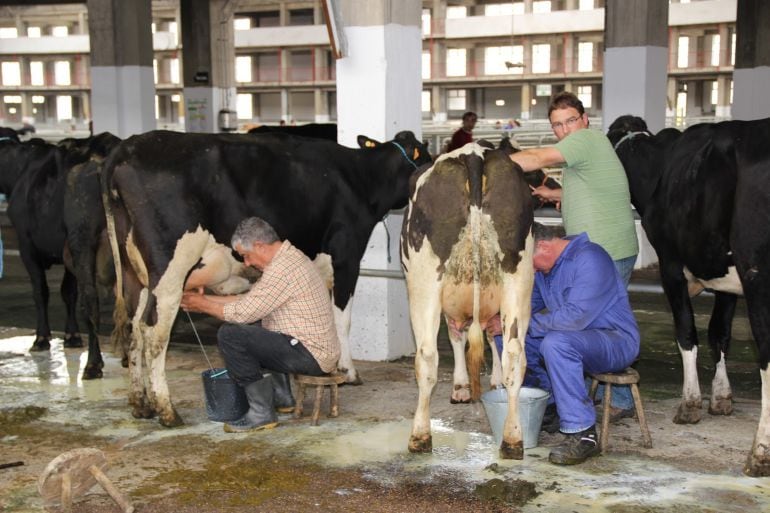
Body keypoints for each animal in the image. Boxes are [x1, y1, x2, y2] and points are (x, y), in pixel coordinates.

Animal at [100, 128, 432, 424]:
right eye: (427, 157)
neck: (359, 179)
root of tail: (127, 146)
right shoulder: (346, 256)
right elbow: (342, 319)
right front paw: (348, 372)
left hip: (135, 275)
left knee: (134, 327)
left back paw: (140, 403)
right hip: (170, 268)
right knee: (153, 331)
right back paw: (167, 411)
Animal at [400, 143, 532, 456]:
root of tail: (473, 154)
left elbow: (455, 336)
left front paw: (460, 387)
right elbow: (487, 337)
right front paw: (487, 382)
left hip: (424, 283)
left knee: (427, 356)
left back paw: (420, 435)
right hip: (518, 279)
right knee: (514, 353)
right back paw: (512, 439)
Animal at [608, 115, 768, 476]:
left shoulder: (671, 265)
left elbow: (686, 332)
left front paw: (690, 403)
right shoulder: (723, 273)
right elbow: (719, 334)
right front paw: (721, 398)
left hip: (759, 276)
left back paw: (759, 454)